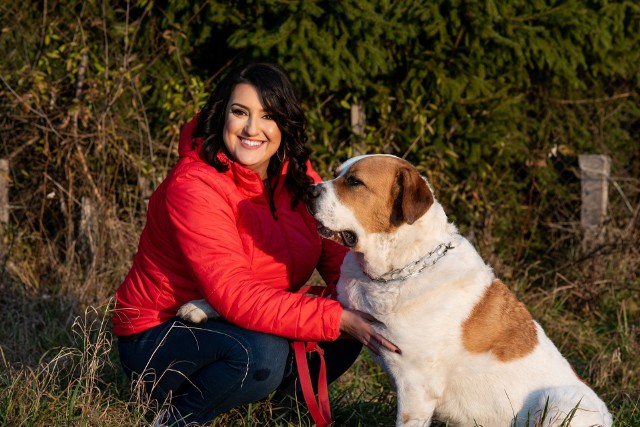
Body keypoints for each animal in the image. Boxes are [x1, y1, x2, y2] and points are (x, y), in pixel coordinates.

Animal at [302, 155, 612, 427]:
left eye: (354, 182)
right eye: (337, 173)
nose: (308, 189)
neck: (403, 265)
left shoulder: (416, 387)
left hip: (557, 402)